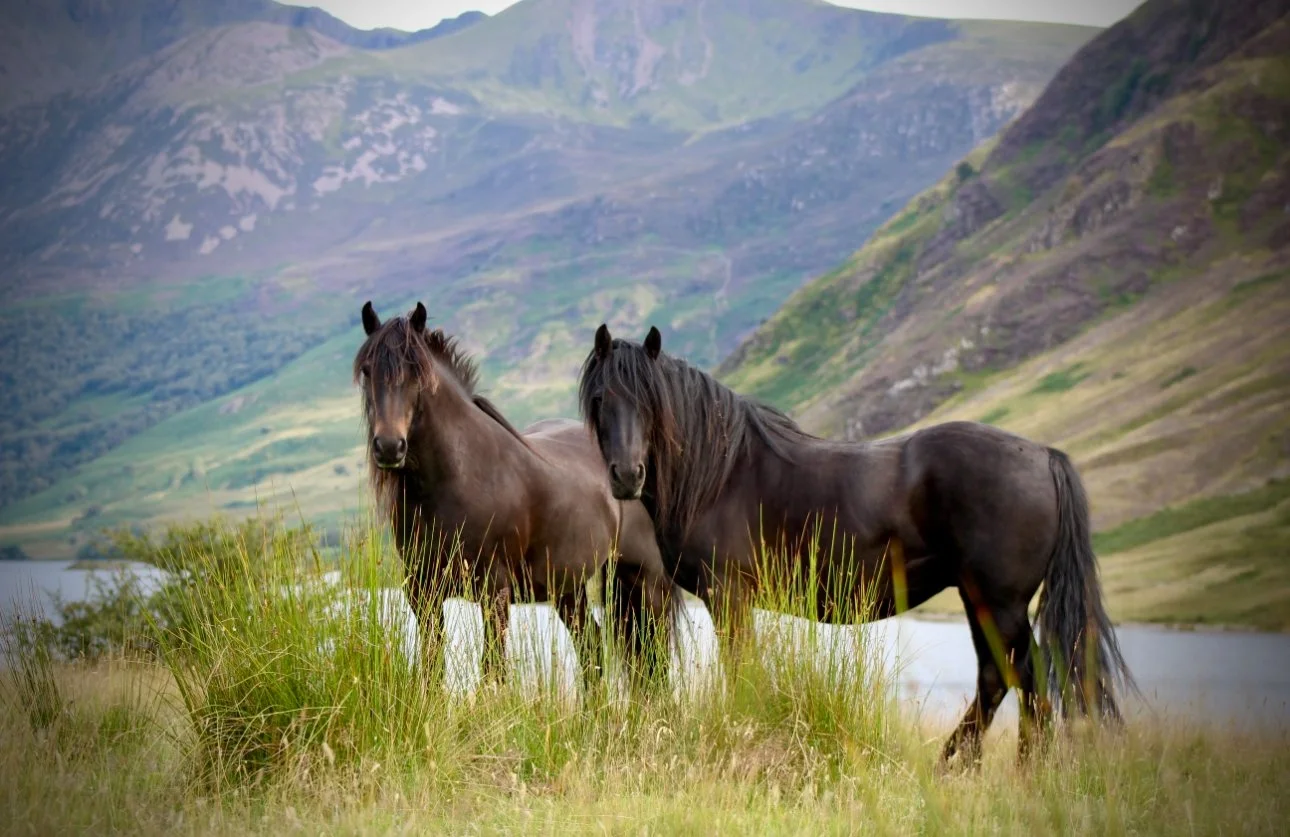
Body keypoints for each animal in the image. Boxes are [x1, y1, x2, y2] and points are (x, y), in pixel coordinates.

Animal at [354, 302, 680, 695]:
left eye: (416, 371)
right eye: (367, 370)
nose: (389, 447)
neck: (456, 477)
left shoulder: (494, 592)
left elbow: (492, 670)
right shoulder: (423, 592)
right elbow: (431, 669)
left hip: (647, 584)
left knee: (655, 658)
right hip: (569, 589)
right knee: (593, 647)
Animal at [577, 323, 1138, 766]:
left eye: (650, 402)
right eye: (602, 400)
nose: (626, 476)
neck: (722, 472)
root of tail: (1042, 454)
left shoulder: (728, 596)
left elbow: (742, 672)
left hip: (1000, 603)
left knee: (1027, 678)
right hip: (979, 599)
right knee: (996, 679)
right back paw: (953, 766)